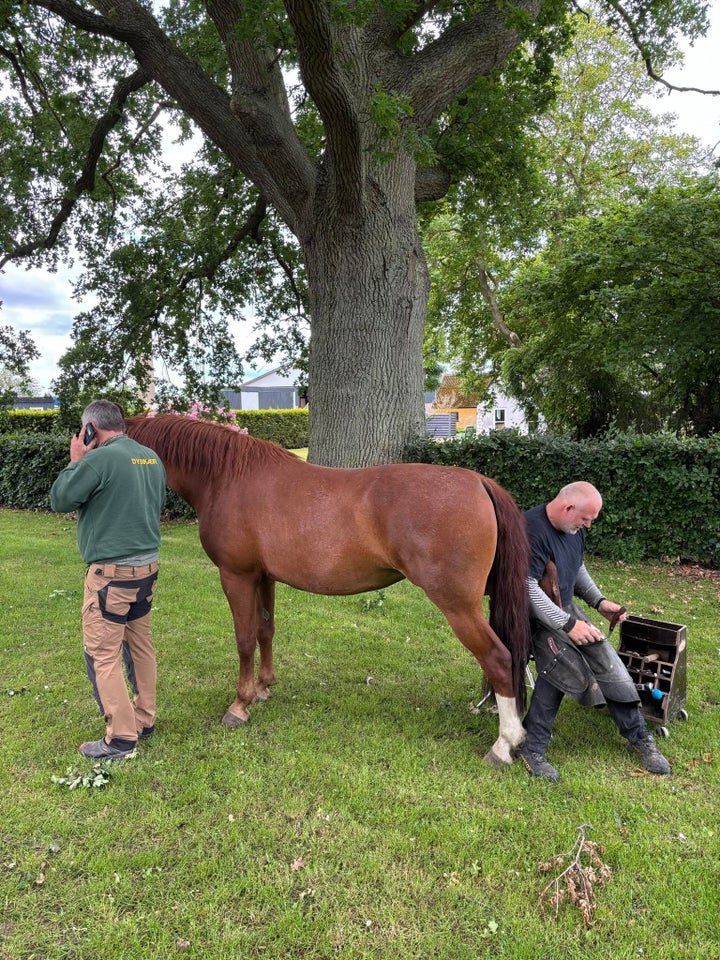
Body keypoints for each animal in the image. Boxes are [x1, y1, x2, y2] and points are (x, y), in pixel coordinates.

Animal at [125, 414, 528, 764]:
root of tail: (478, 482)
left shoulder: (237, 576)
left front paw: (240, 705)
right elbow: (265, 630)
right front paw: (264, 688)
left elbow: (244, 639)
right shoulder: (263, 577)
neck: (226, 478)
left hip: (458, 606)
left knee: (499, 658)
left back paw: (504, 744)